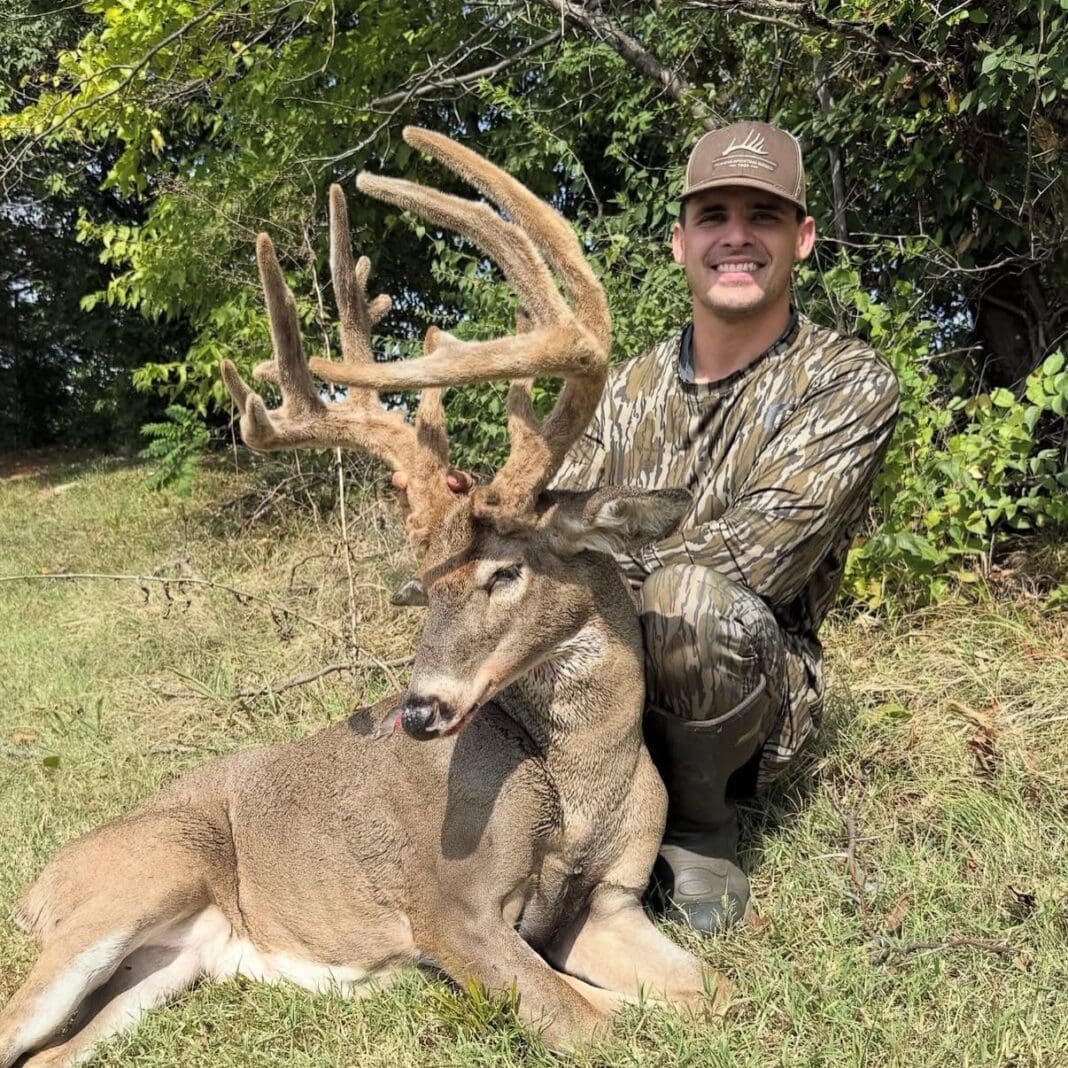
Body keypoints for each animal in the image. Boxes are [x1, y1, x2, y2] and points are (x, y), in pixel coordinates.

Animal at [0, 128, 725, 1068]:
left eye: (504, 572)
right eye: (423, 588)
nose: (417, 714)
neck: (580, 787)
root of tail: (36, 887)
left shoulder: (609, 904)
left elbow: (707, 996)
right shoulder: (449, 907)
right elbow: (597, 1026)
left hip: (165, 966)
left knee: (49, 1051)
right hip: (133, 883)